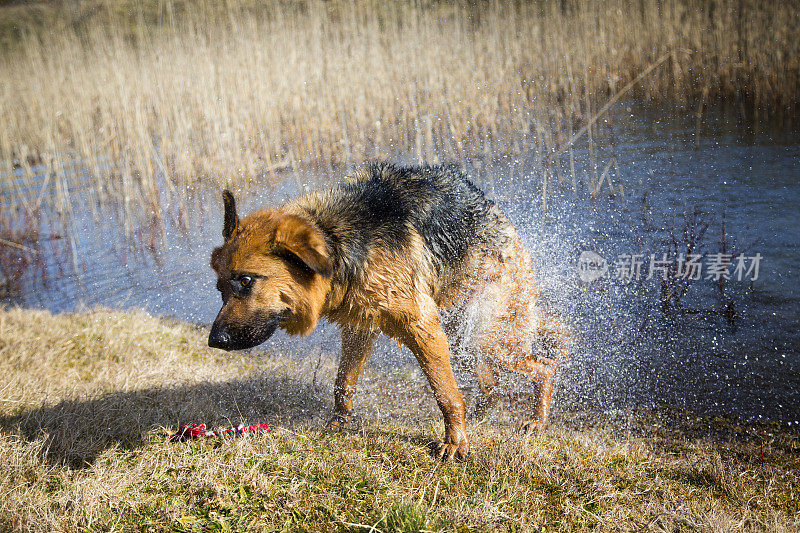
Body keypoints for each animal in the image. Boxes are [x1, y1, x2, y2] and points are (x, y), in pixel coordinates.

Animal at [206, 161, 568, 458]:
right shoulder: (360, 327)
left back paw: (537, 421)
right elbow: (344, 381)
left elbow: (446, 394)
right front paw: (339, 422)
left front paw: (455, 442)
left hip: (485, 336)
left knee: (545, 367)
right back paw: (483, 414)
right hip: (463, 337)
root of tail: (497, 216)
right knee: (491, 382)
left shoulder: (422, 329)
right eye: (220, 288)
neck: (337, 242)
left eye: (247, 281)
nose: (214, 342)